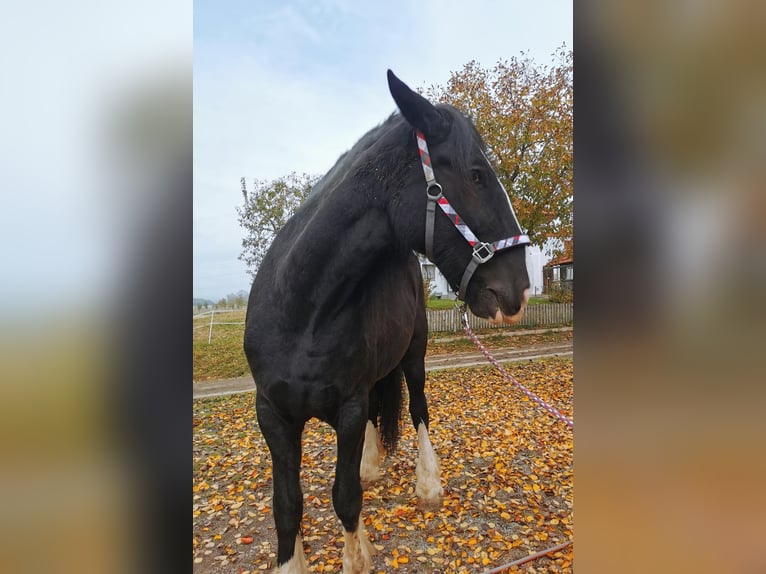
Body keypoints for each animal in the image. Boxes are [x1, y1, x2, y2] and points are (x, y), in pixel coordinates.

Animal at [244, 70, 531, 573]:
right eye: (476, 174)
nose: (519, 289)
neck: (300, 312)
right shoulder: (273, 414)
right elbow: (287, 506)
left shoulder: (349, 406)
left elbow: (345, 498)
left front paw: (357, 556)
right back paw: (372, 464)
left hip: (413, 356)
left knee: (417, 408)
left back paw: (427, 484)